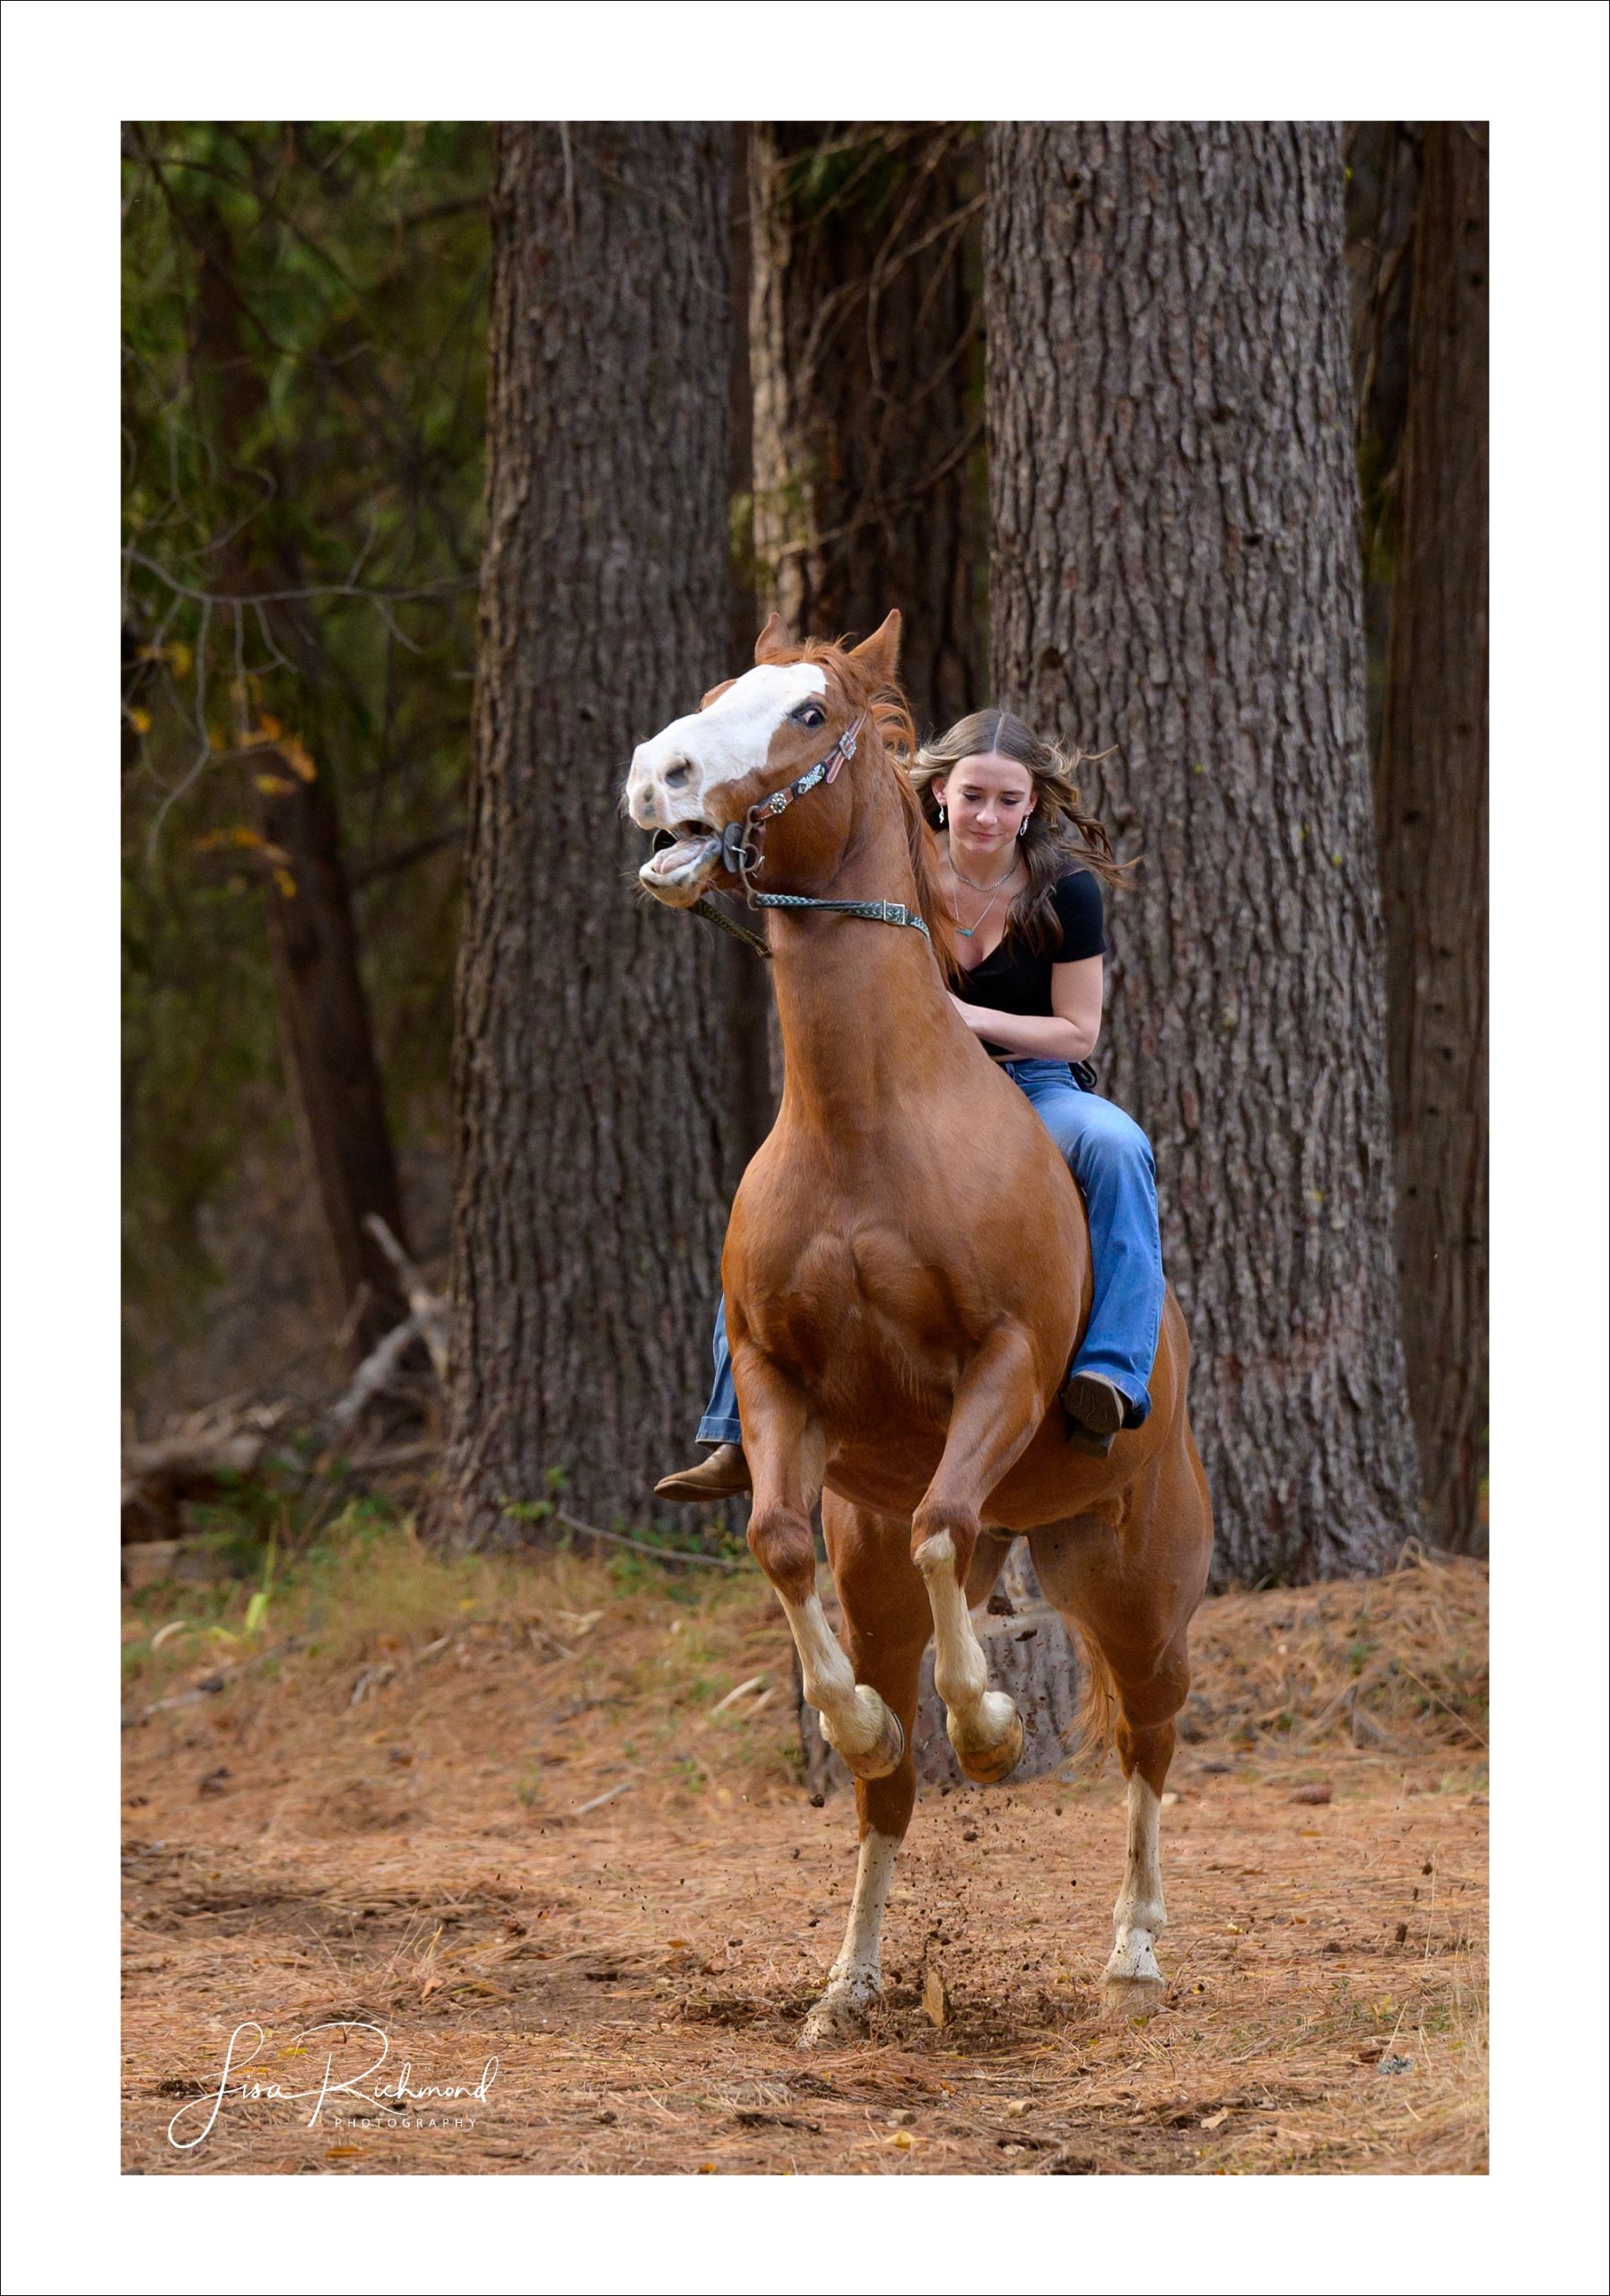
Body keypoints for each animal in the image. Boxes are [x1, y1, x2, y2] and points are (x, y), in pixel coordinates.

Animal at [624, 610, 1203, 2048]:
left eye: (810, 716)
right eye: (720, 691)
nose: (657, 775)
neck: (868, 1126)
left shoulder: (1000, 1367)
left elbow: (948, 1521)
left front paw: (989, 1725)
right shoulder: (775, 1382)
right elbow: (778, 1547)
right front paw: (873, 1726)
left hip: (1143, 1580)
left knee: (1148, 1741)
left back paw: (1132, 1955)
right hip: (903, 1558)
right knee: (888, 1793)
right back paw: (849, 1983)